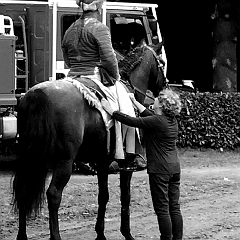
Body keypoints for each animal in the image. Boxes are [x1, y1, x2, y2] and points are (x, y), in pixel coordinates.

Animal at [11, 42, 165, 240]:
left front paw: (100, 233)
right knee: (53, 194)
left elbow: (103, 196)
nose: (165, 85)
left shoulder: (103, 161)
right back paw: (55, 236)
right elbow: (126, 196)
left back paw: (22, 235)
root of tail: (37, 95)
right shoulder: (126, 163)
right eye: (161, 62)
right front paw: (127, 233)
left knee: (23, 190)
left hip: (31, 158)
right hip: (64, 161)